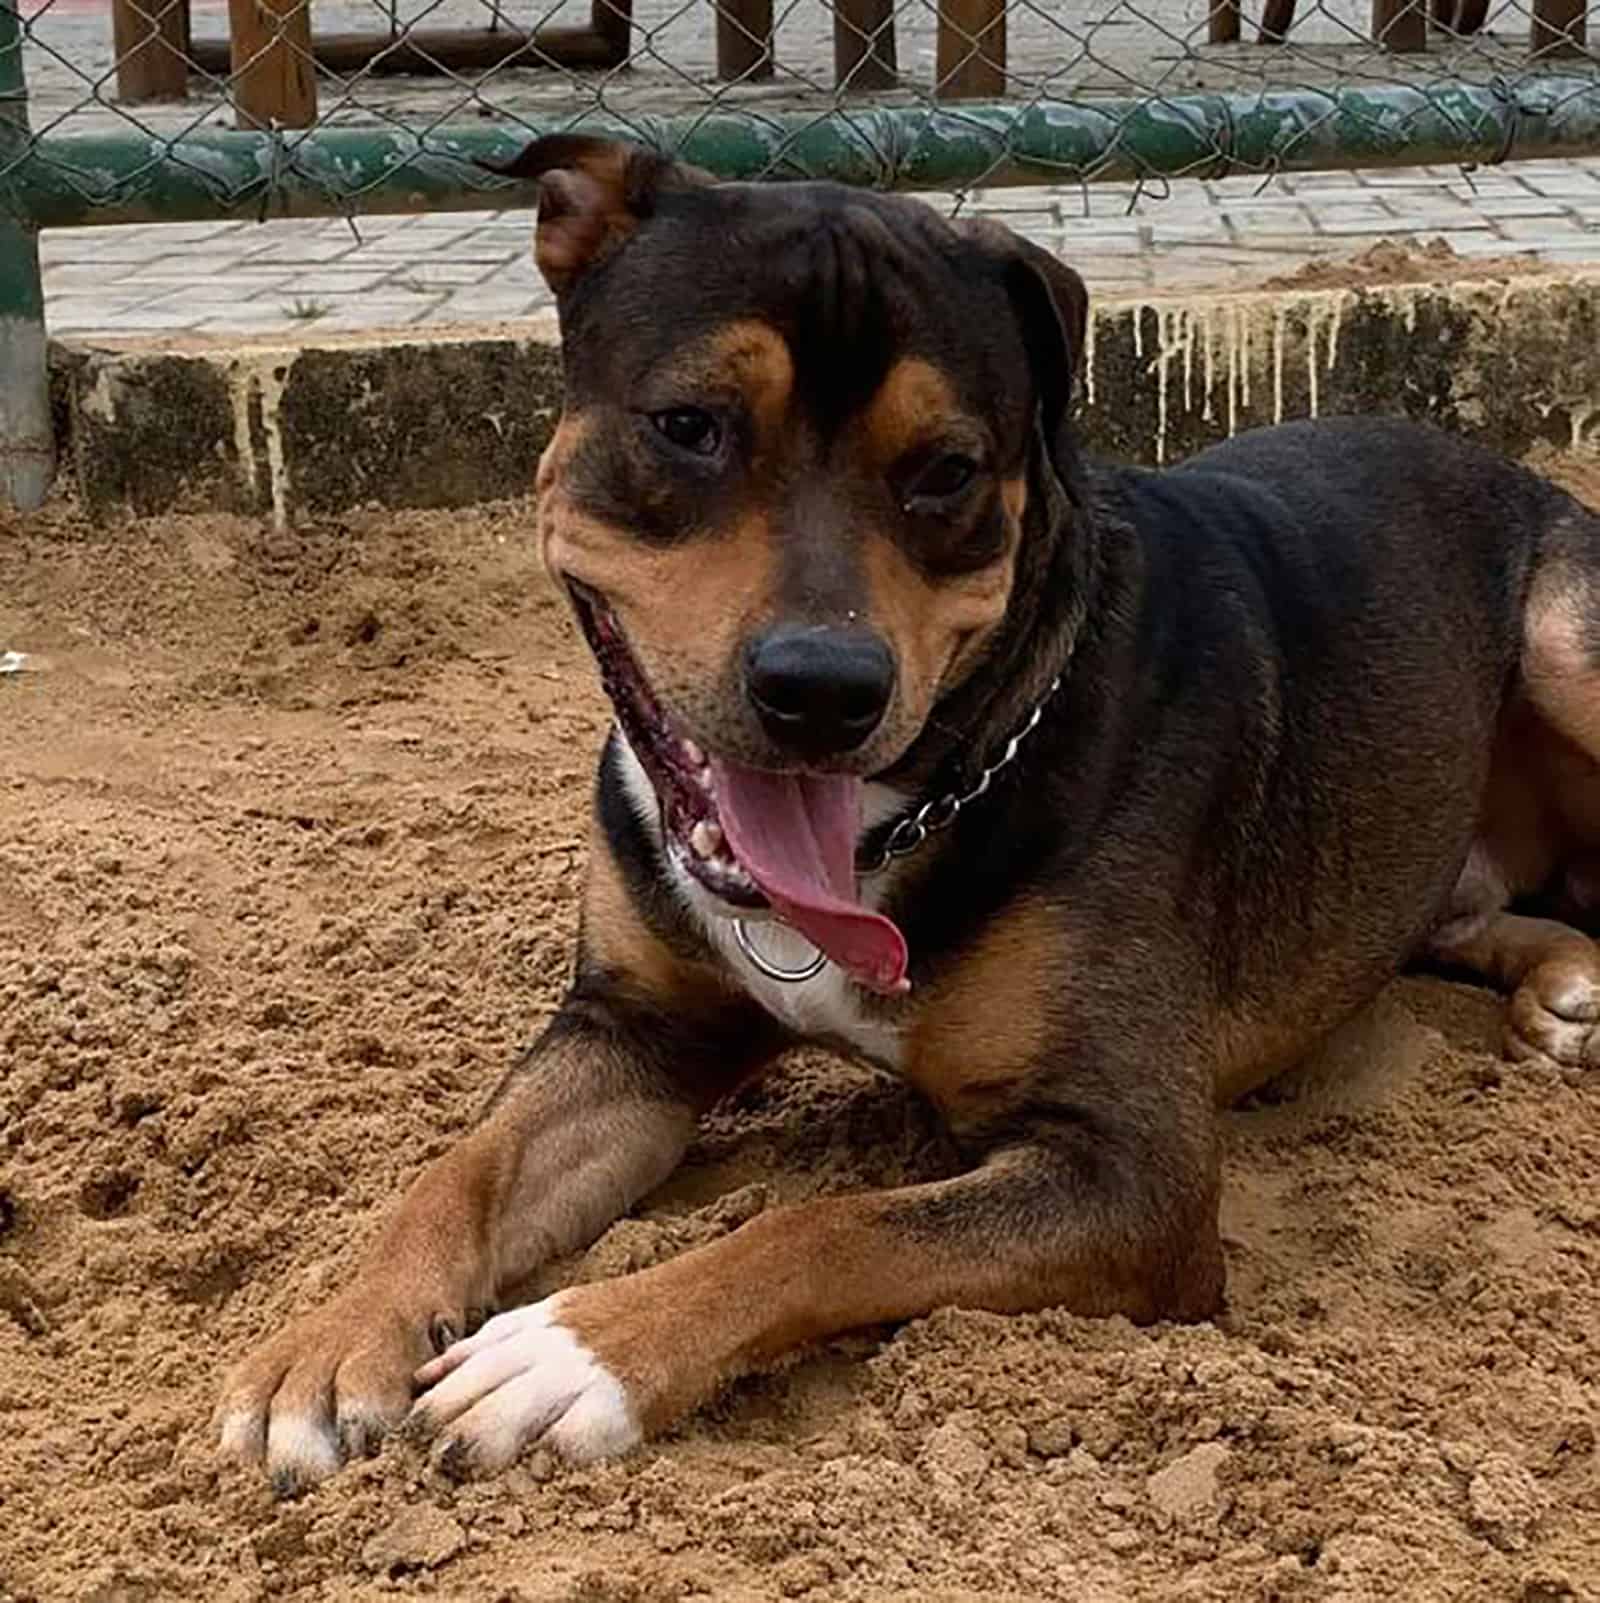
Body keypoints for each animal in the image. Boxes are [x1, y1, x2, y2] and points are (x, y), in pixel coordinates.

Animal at [219, 134, 1600, 1487]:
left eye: (947, 472)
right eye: (687, 425)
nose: (821, 686)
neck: (901, 814)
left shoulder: (1131, 1173)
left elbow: (820, 1226)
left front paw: (575, 1350)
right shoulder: (631, 1031)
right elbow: (456, 1168)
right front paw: (328, 1342)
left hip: (1564, 631)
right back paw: (1561, 978)